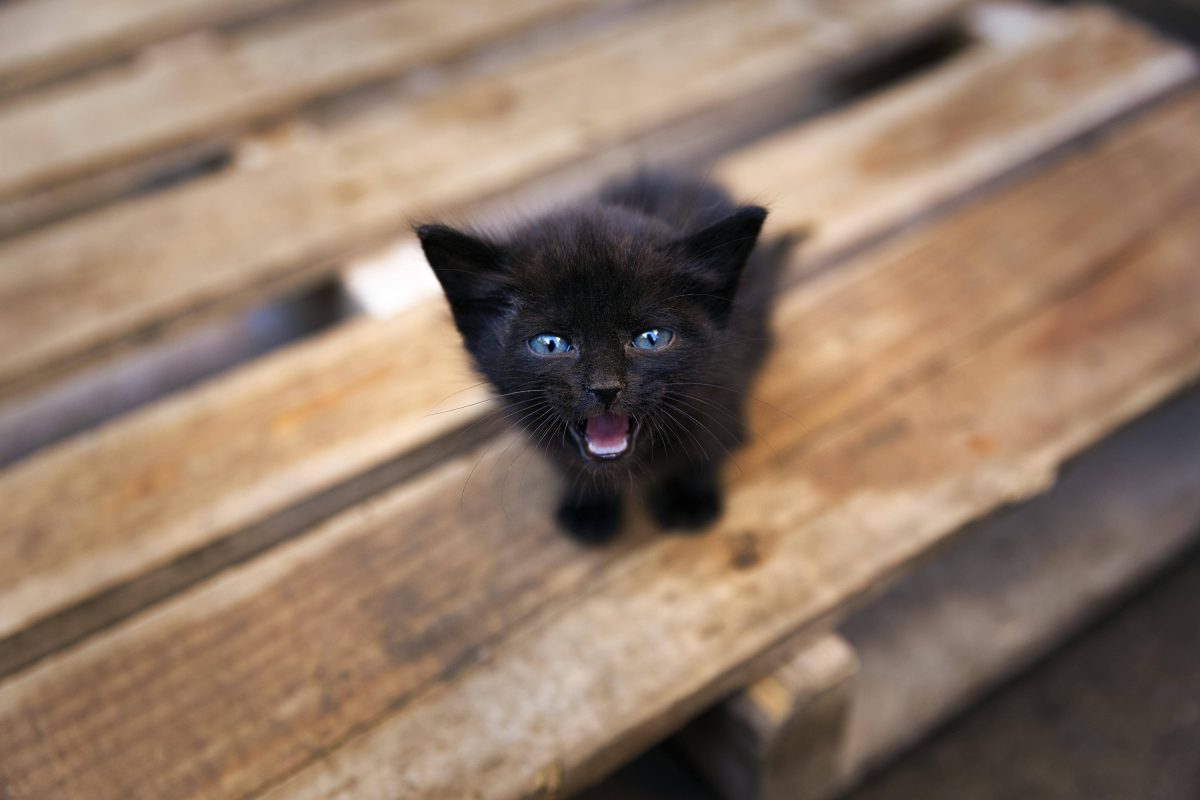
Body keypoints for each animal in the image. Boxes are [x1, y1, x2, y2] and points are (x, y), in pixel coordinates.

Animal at [417, 171, 782, 542]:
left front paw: (689, 496)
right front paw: (589, 504)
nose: (605, 388)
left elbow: (705, 438)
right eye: (550, 344)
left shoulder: (723, 371)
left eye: (651, 338)